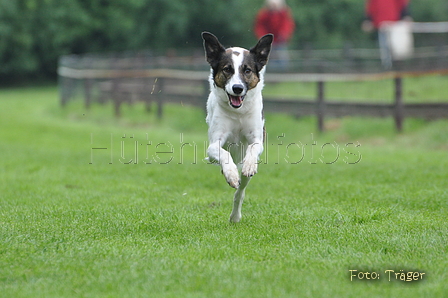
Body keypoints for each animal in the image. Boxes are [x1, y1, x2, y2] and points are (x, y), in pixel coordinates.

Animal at [202, 32, 272, 221]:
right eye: (227, 69)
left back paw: (235, 216)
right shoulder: (213, 145)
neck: (238, 113)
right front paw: (231, 174)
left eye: (247, 70)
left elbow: (253, 148)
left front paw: (249, 166)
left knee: (240, 192)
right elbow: (223, 153)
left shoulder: (258, 139)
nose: (237, 88)